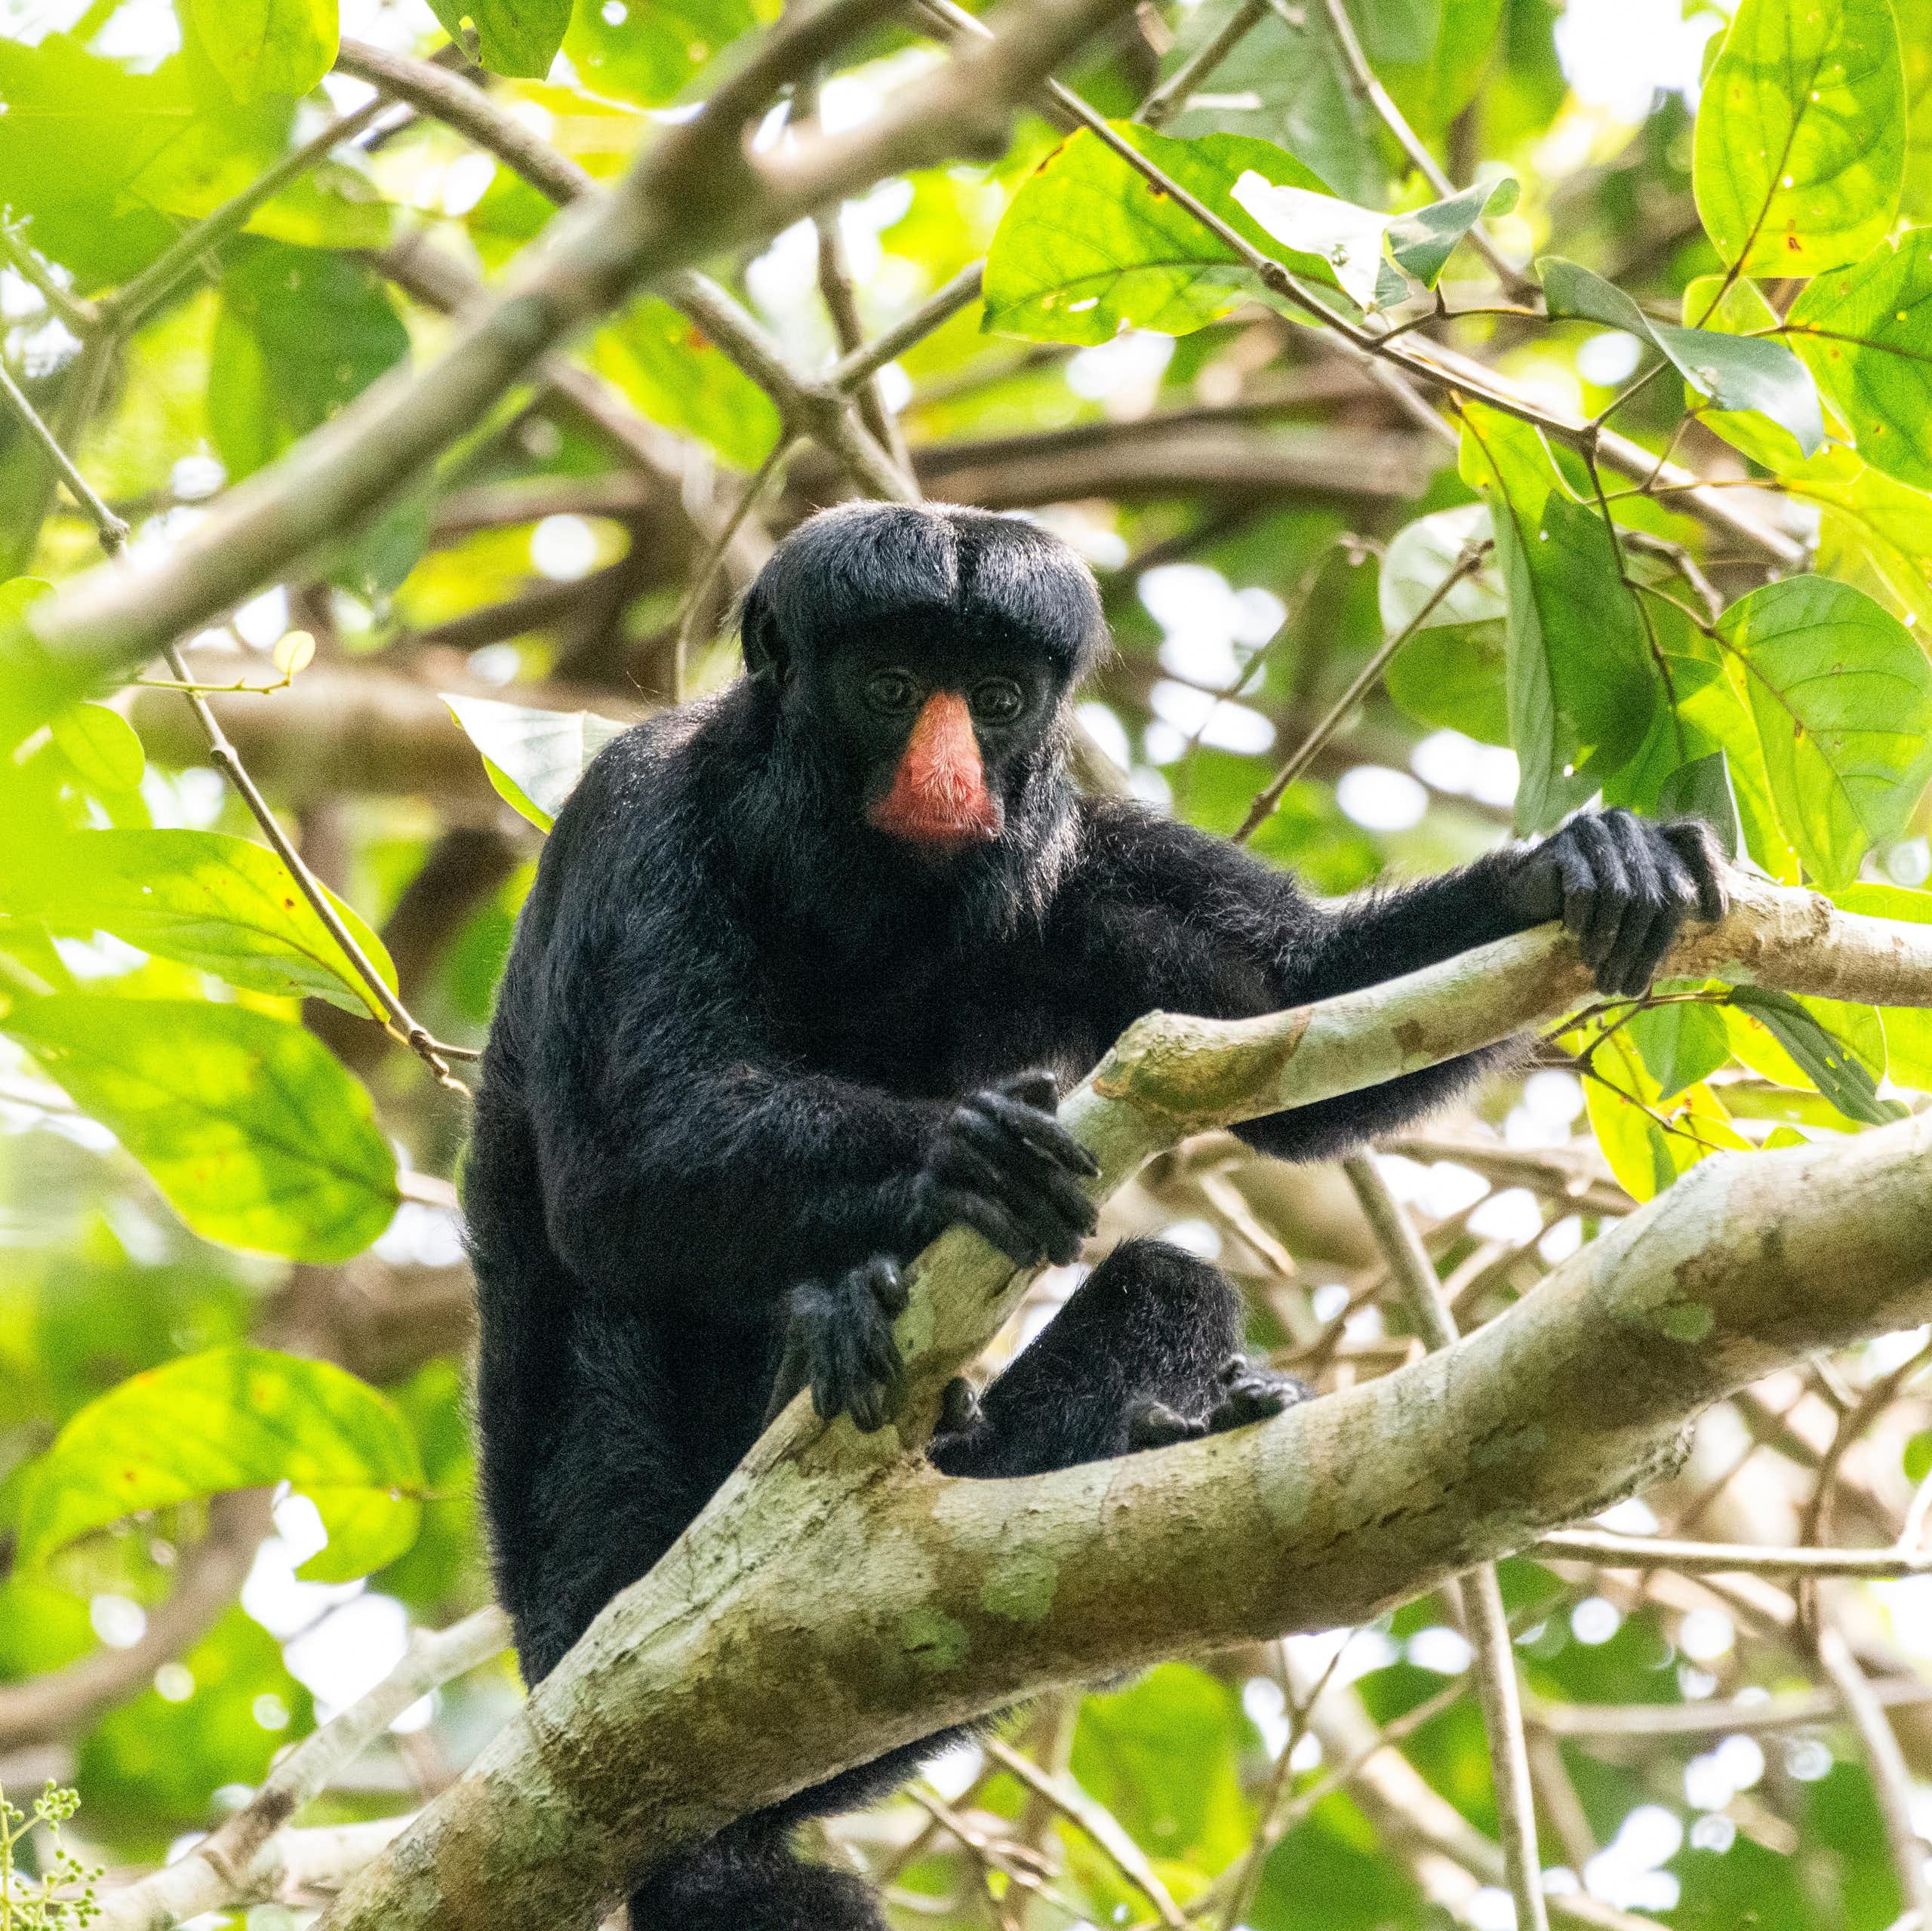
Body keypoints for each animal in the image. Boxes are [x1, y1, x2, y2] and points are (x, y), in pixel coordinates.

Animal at [460, 500, 1727, 1929]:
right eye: (890, 686)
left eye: (997, 701)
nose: (948, 782)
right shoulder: (637, 811)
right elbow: (614, 1169)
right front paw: (959, 1158)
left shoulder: (1075, 858)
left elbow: (1292, 1004)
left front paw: (1565, 870)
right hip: (591, 1572)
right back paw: (830, 1329)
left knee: (1173, 1283)